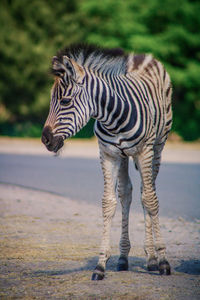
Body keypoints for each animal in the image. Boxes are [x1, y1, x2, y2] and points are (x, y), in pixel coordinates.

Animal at [41, 44, 172, 278]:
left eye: (65, 101)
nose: (45, 140)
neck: (114, 117)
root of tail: (144, 56)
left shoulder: (144, 151)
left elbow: (150, 200)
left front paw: (163, 260)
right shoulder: (108, 154)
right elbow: (108, 203)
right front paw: (101, 264)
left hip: (157, 148)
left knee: (148, 192)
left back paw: (151, 258)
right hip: (123, 157)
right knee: (127, 193)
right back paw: (123, 258)